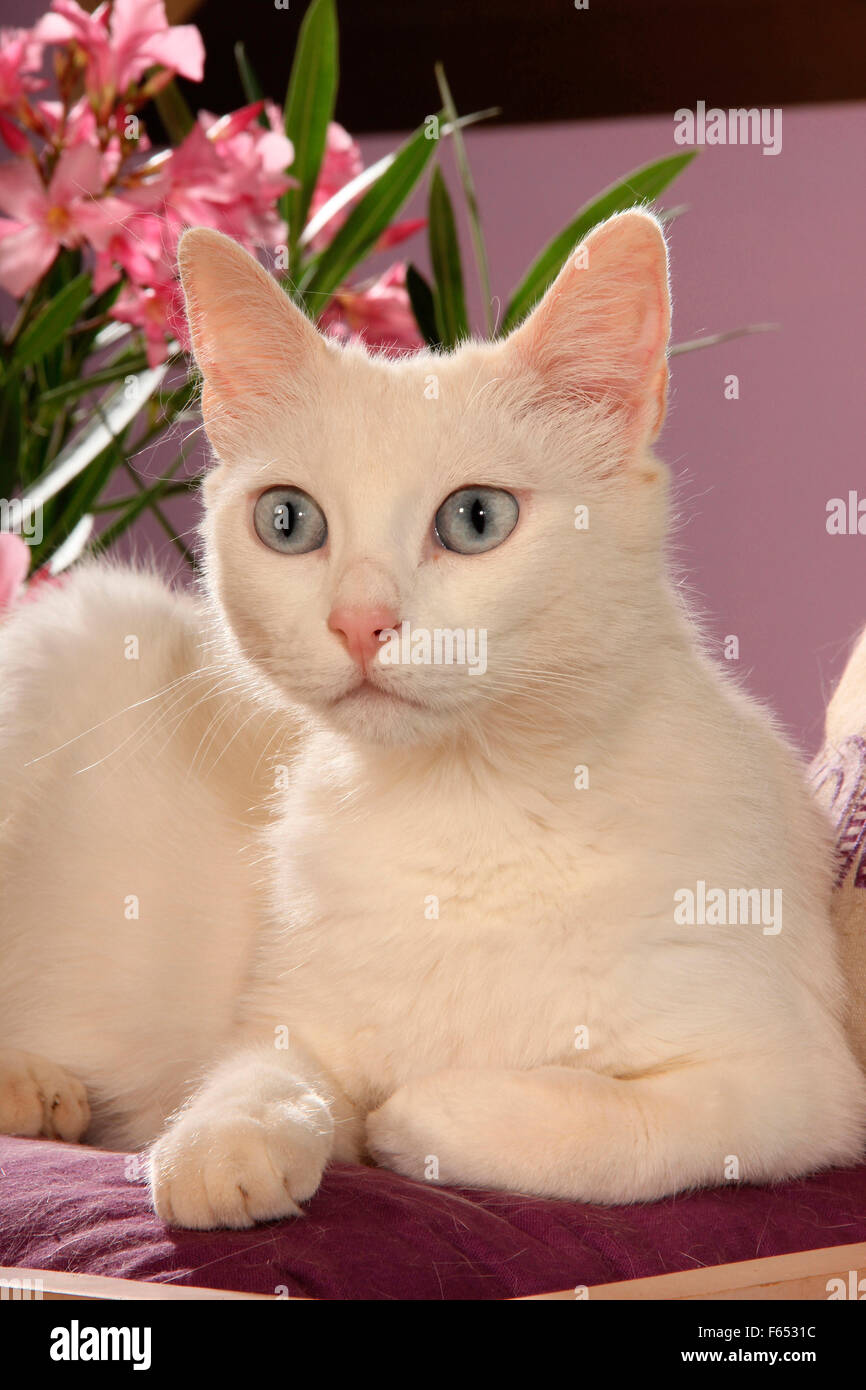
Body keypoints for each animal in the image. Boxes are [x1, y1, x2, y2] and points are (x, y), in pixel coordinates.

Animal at [0, 214, 861, 1228]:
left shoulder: (795, 1088)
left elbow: (613, 1128)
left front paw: (420, 1118)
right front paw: (223, 1149)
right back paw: (37, 1090)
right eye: (287, 522)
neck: (468, 810)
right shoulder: (285, 1025)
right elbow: (260, 1080)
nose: (357, 622)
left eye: (475, 519)